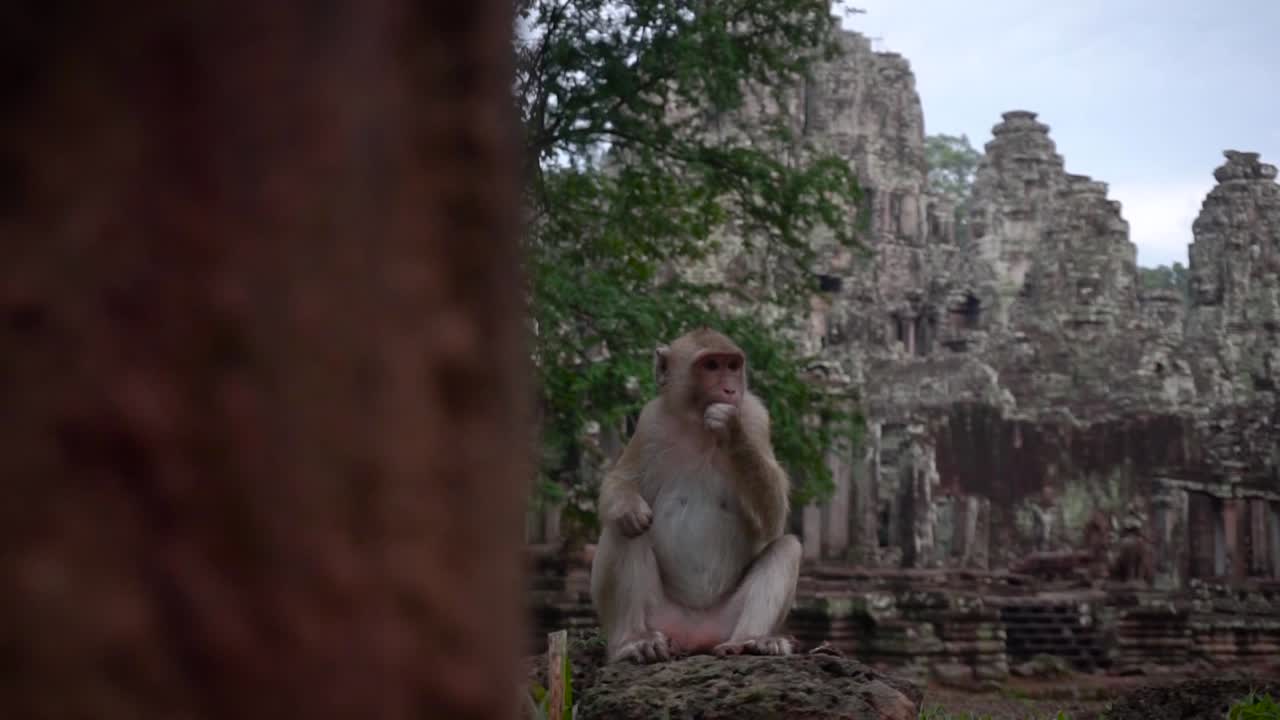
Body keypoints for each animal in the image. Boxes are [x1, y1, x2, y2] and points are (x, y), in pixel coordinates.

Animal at [589, 327, 801, 664]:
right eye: (711, 366)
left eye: (732, 365)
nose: (730, 390)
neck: (697, 425)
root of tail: (694, 636)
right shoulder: (650, 422)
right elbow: (620, 481)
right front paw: (629, 506)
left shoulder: (756, 416)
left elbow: (773, 519)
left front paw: (732, 430)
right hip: (660, 617)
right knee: (622, 530)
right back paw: (633, 641)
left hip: (724, 622)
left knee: (787, 547)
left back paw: (751, 641)